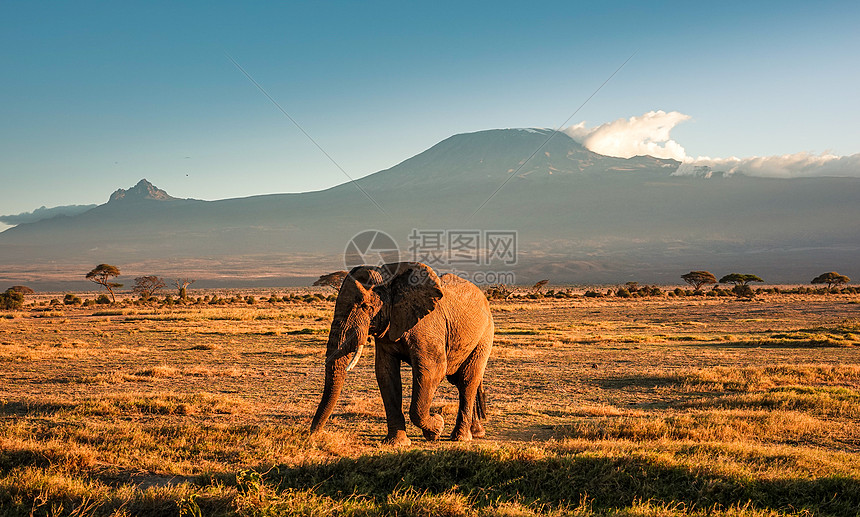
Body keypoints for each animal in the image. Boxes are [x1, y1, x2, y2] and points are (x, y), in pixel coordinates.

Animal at [312, 262, 494, 444]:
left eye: (366, 307)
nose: (314, 434)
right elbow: (385, 373)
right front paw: (397, 442)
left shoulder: (427, 326)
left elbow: (432, 371)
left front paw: (437, 427)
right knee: (460, 380)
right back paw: (476, 432)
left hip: (485, 335)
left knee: (466, 380)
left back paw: (461, 437)